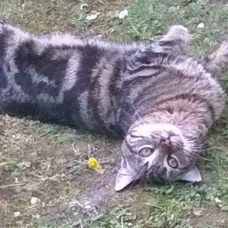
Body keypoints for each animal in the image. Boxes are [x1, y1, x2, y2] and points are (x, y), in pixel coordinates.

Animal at [0, 22, 226, 191]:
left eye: (171, 161)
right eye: (146, 151)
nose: (166, 141)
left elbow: (208, 59)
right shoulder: (143, 59)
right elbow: (180, 34)